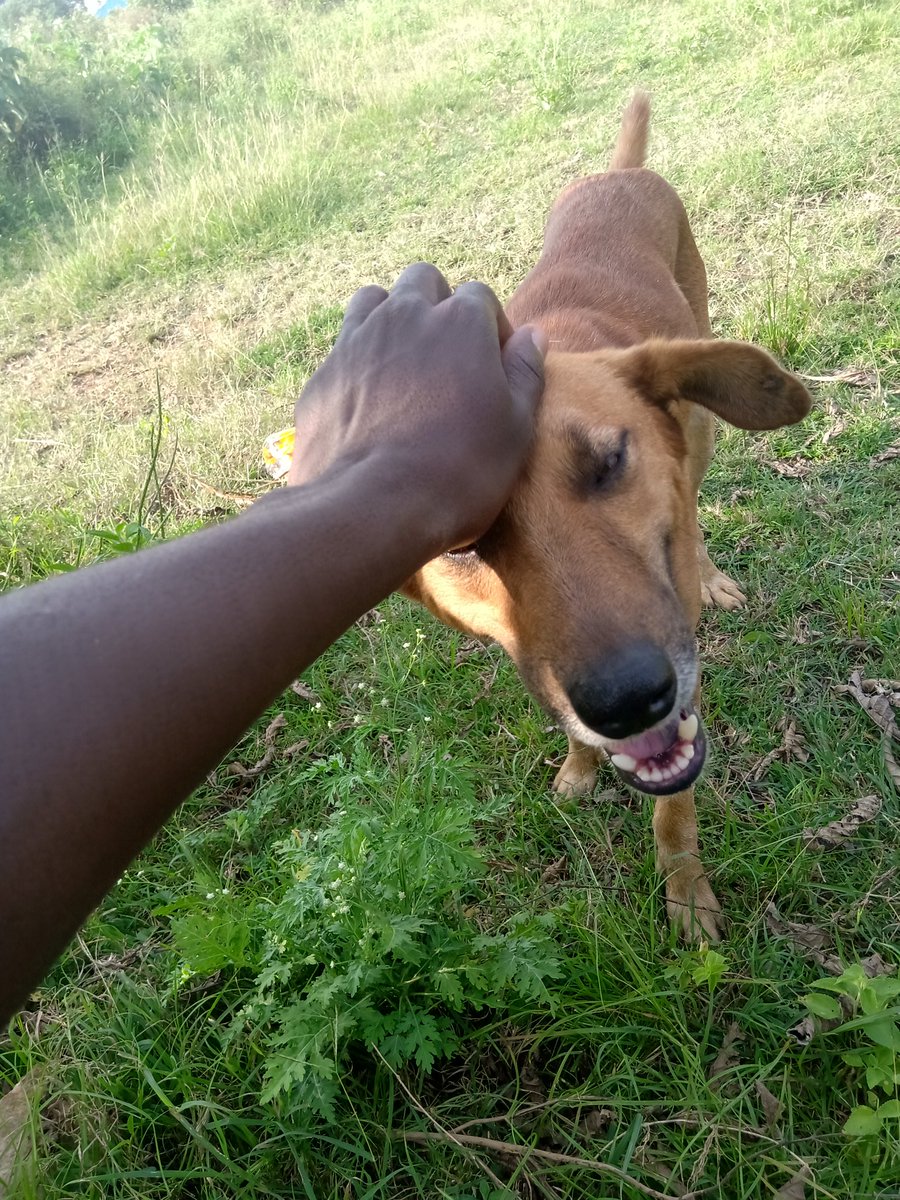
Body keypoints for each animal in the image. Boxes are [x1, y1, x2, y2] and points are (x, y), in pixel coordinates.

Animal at [405, 91, 816, 936]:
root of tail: (618, 173)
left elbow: (676, 809)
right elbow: (568, 727)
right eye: (462, 542)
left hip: (703, 411)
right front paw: (579, 766)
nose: (628, 701)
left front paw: (685, 891)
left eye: (609, 461)